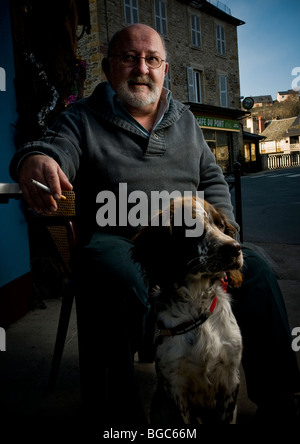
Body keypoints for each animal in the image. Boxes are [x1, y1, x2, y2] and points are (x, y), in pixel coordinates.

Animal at [132, 197, 243, 424]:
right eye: (192, 228)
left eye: (221, 225)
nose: (235, 248)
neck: (197, 304)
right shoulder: (175, 385)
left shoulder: (231, 377)